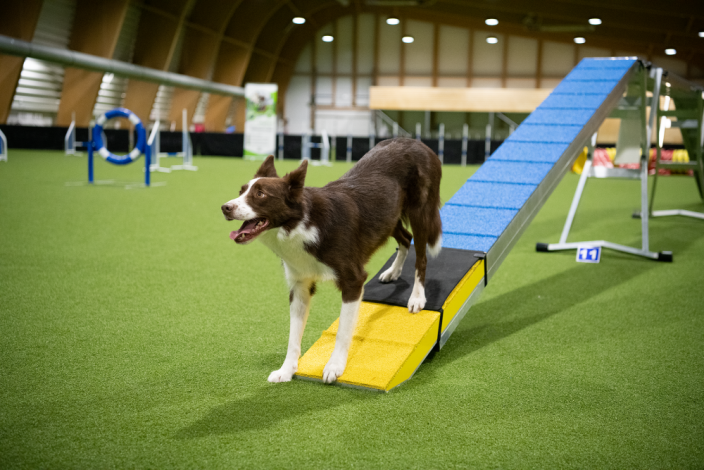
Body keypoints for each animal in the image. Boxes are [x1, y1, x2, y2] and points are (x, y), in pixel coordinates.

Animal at [221, 138, 440, 384]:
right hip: (388, 215)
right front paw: (286, 370)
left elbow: (343, 330)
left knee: (421, 256)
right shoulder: (299, 286)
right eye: (241, 191)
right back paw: (393, 272)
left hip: (420, 212)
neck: (302, 224)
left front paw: (335, 367)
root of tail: (415, 142)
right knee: (405, 237)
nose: (225, 208)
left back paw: (417, 298)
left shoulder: (353, 280)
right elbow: (293, 336)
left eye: (260, 194)